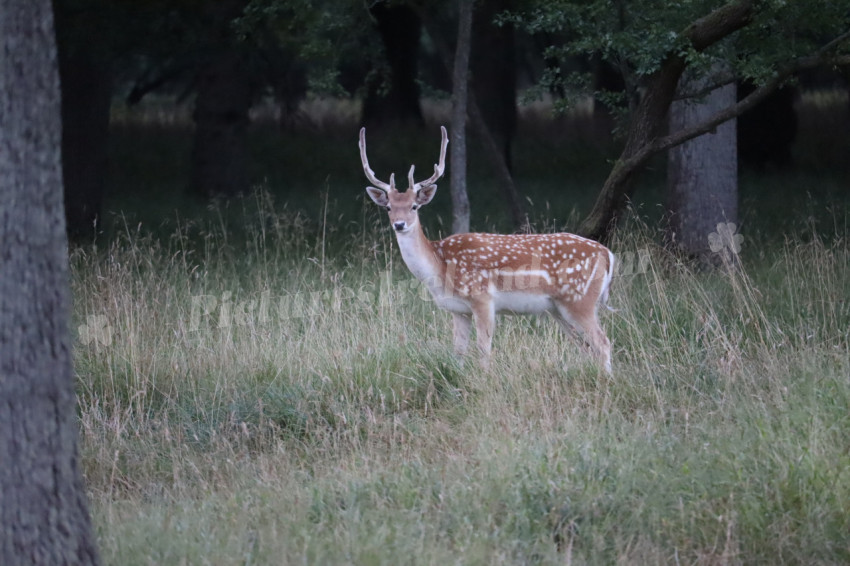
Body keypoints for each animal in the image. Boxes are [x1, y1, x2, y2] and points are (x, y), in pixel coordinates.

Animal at [360, 126, 615, 373]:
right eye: (389, 207)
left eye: (414, 206)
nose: (399, 224)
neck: (440, 267)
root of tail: (608, 255)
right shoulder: (458, 310)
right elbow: (458, 353)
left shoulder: (482, 298)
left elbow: (483, 350)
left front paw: (484, 380)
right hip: (558, 308)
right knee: (586, 347)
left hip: (579, 299)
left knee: (603, 342)